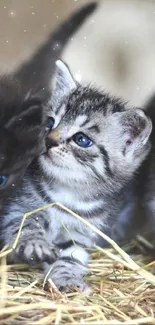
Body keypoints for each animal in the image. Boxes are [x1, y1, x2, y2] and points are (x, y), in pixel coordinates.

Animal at [0, 60, 152, 292]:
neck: (67, 193)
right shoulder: (16, 208)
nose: (50, 140)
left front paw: (67, 279)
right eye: (50, 123)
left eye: (82, 139)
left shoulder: (81, 233)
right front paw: (35, 243)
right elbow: (23, 225)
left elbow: (71, 256)